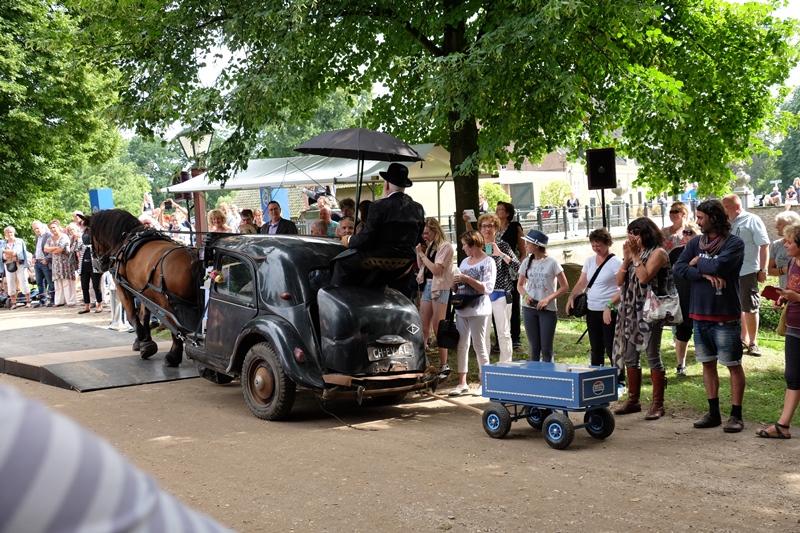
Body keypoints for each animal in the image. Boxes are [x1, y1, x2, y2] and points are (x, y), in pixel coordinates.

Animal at [79, 209, 205, 367]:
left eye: (88, 236)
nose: (97, 265)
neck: (124, 241)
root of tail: (194, 258)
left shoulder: (123, 289)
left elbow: (132, 315)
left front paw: (144, 343)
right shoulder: (144, 292)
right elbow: (143, 315)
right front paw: (144, 340)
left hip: (169, 306)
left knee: (176, 329)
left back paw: (173, 356)